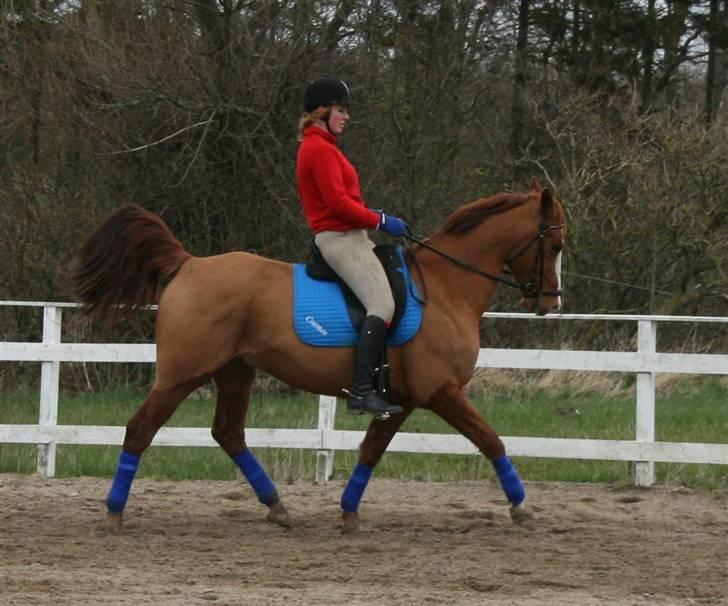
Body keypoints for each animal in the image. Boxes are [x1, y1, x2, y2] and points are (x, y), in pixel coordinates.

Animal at [68, 177, 564, 536]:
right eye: (555, 245)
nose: (551, 303)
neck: (445, 287)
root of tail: (190, 263)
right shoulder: (441, 391)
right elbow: (491, 440)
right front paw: (521, 507)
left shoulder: (402, 400)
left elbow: (371, 451)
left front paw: (348, 512)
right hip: (181, 375)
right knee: (140, 429)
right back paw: (113, 513)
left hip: (235, 372)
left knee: (228, 433)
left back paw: (277, 507)